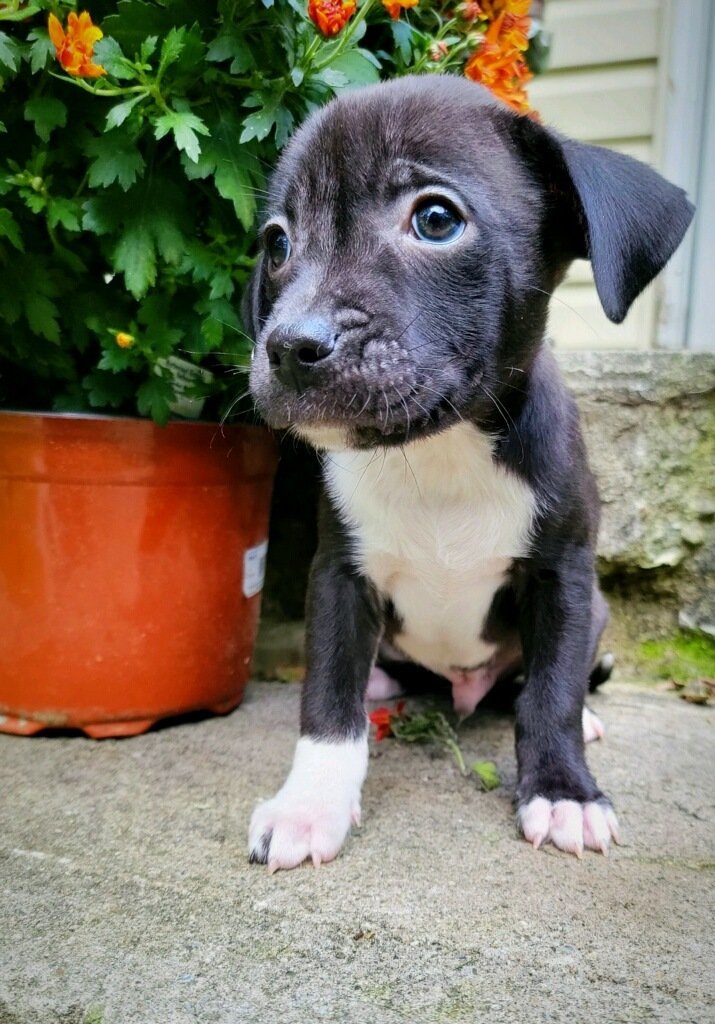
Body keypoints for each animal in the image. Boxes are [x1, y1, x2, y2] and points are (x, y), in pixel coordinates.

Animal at [243, 75, 692, 868]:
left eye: (434, 219)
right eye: (278, 243)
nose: (289, 345)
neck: (438, 450)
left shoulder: (563, 576)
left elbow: (550, 695)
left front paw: (565, 792)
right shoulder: (339, 576)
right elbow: (326, 699)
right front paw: (309, 805)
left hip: (596, 608)